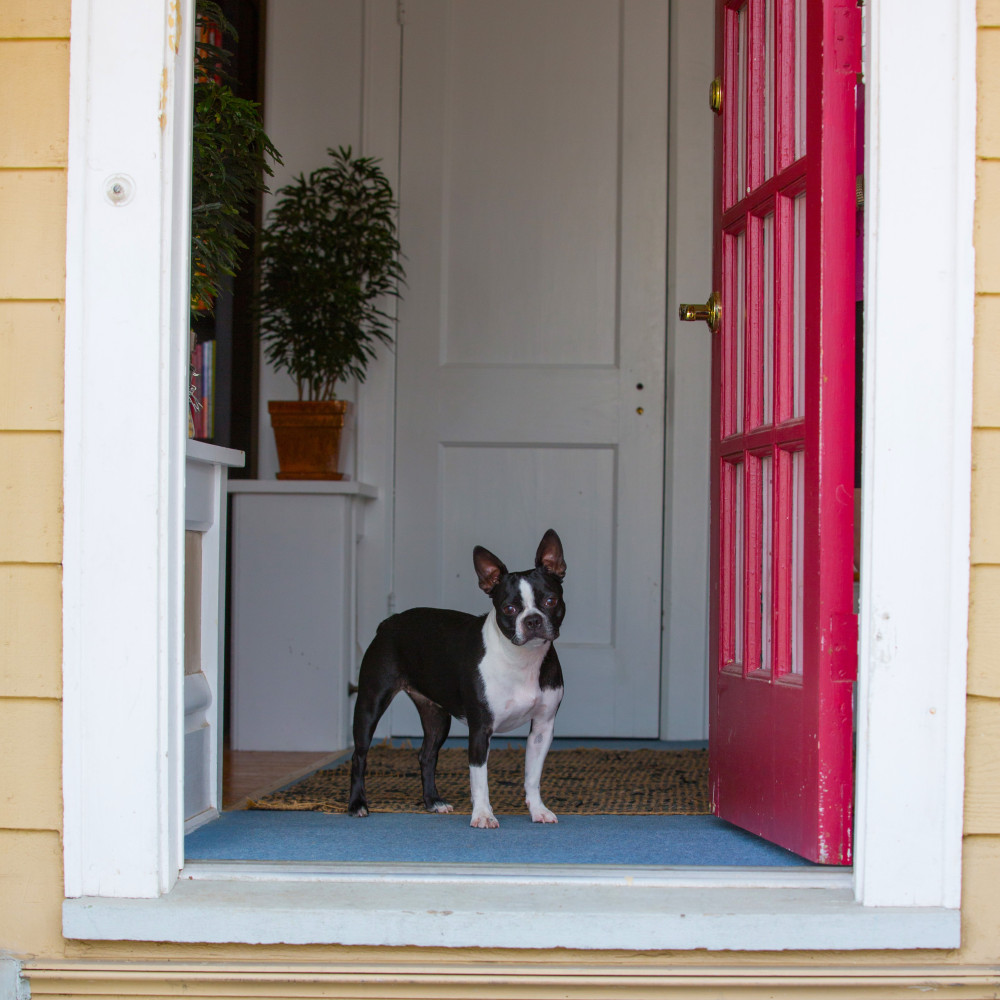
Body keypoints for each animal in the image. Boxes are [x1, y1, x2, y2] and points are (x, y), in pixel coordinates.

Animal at [346, 532, 564, 828]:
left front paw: (538, 810)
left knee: (427, 755)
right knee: (359, 755)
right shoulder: (481, 729)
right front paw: (483, 815)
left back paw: (433, 802)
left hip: (436, 715)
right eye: (509, 608)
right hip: (371, 702)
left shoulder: (542, 727)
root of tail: (389, 622)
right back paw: (357, 804)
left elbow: (532, 775)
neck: (522, 660)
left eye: (551, 601)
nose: (532, 620)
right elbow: (479, 778)